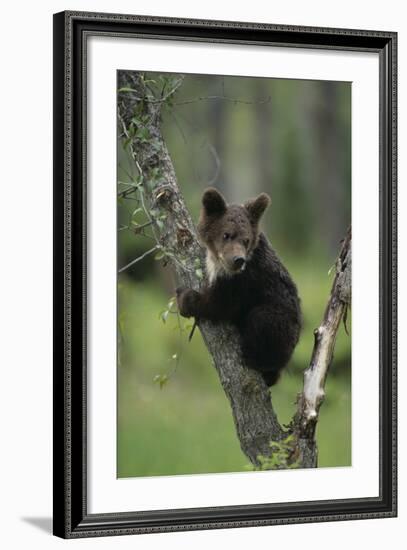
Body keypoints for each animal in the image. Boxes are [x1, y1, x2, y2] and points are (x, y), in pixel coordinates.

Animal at [177, 188, 302, 386]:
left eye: (246, 239)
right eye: (226, 234)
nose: (238, 260)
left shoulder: (245, 280)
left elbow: (219, 305)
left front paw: (184, 297)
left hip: (284, 327)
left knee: (262, 319)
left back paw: (259, 363)